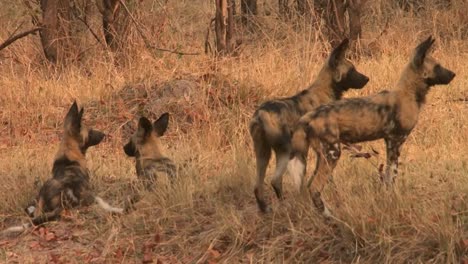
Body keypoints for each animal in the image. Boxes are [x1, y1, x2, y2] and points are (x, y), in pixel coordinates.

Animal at [249, 38, 370, 213]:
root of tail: (260, 113)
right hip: (287, 151)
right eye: (352, 70)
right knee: (276, 180)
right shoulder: (323, 150)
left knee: (258, 186)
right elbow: (327, 179)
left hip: (263, 153)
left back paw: (267, 210)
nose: (367, 78)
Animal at [290, 35, 456, 217]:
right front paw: (392, 201)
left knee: (308, 185)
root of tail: (308, 116)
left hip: (321, 156)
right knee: (314, 187)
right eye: (438, 66)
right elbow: (393, 175)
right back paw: (330, 217)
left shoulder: (389, 141)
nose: (453, 74)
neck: (409, 94)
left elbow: (388, 178)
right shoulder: (396, 142)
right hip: (332, 154)